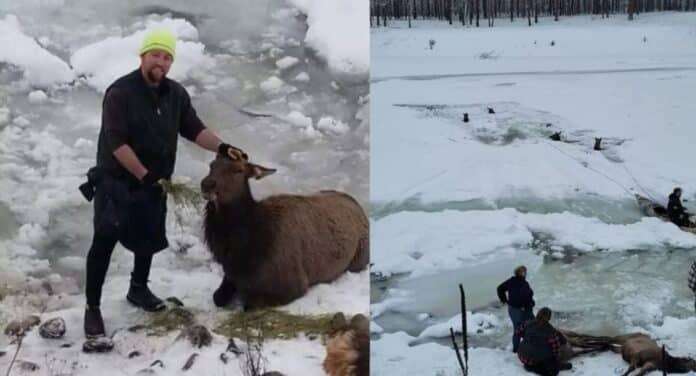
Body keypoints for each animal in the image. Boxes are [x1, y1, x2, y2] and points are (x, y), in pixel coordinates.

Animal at [200, 156, 370, 308]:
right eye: (211, 165)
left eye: (238, 170)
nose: (207, 184)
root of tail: (359, 206)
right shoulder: (230, 276)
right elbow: (217, 297)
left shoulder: (294, 286)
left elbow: (249, 304)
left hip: (359, 260)